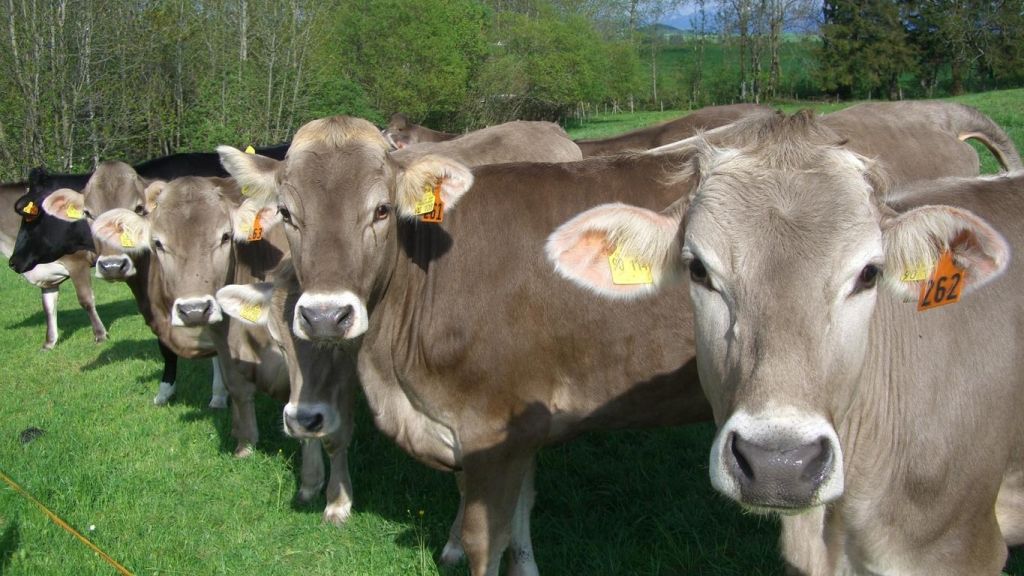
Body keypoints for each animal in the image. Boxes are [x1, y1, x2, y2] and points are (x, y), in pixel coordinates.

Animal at [2, 182, 106, 349]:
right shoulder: (47, 278)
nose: (12, 263)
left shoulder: (77, 263)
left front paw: (100, 335)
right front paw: (49, 343)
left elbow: (86, 300)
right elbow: (48, 307)